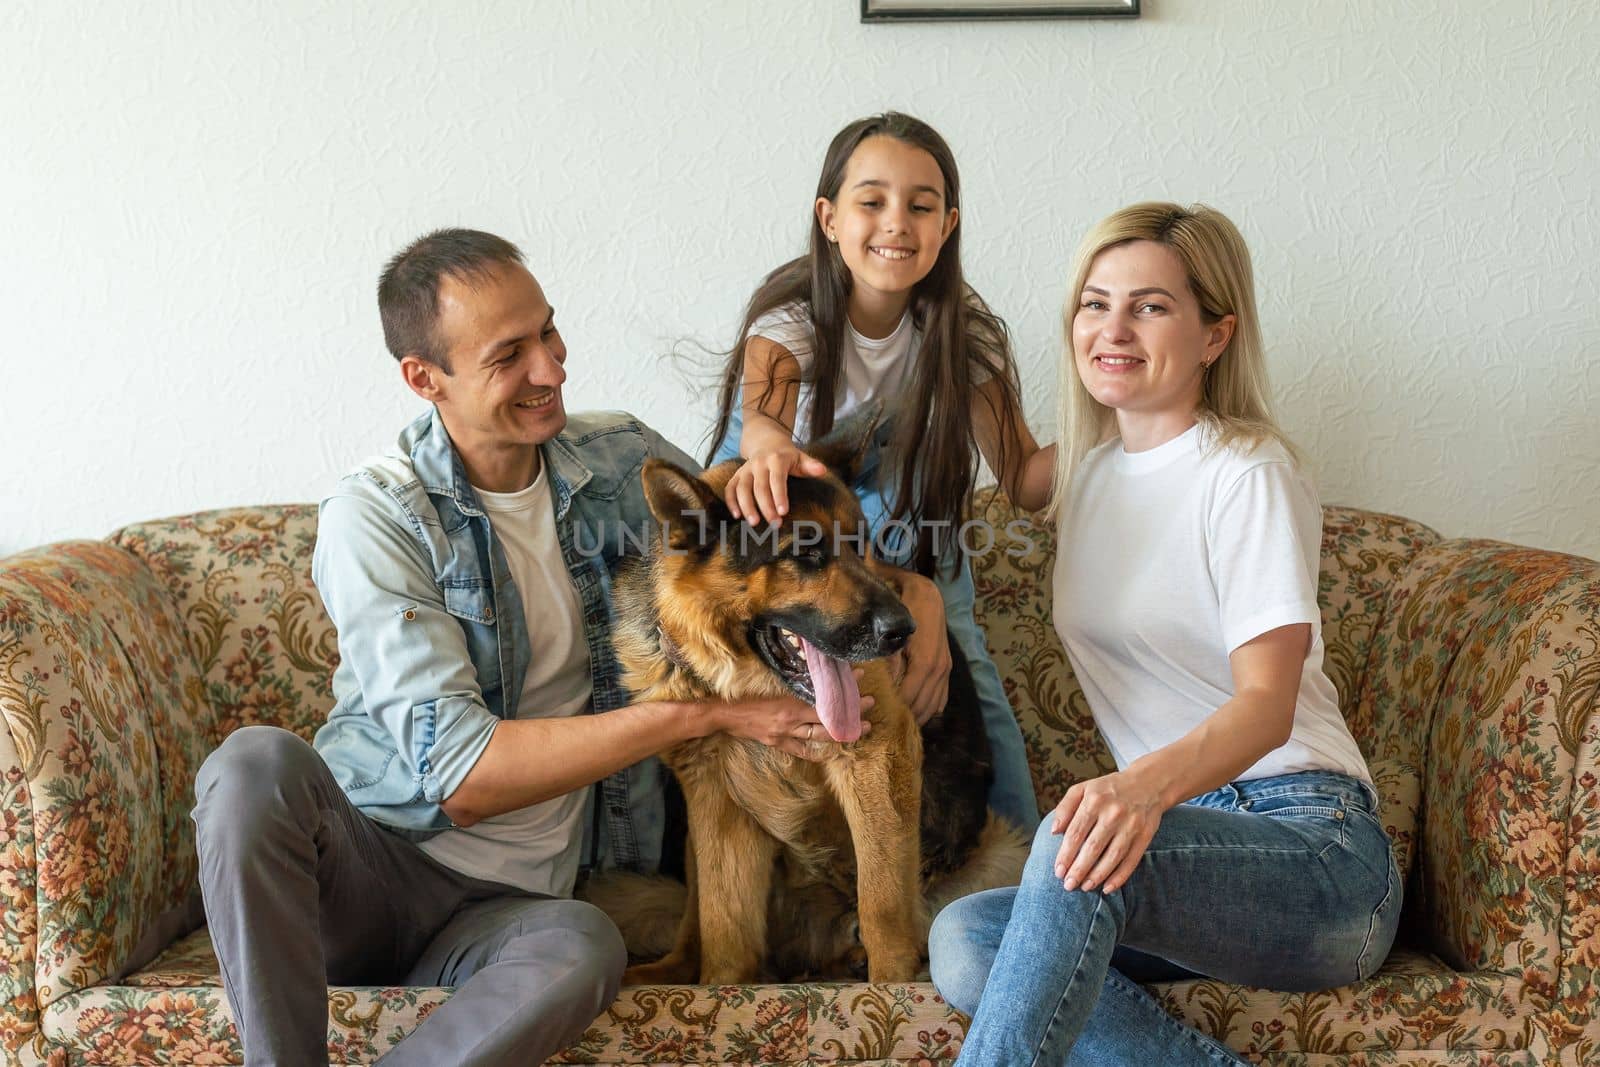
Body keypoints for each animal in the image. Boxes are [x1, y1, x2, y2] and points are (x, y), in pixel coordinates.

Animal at [595, 415, 1030, 985]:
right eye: (805, 555)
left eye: (860, 543)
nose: (903, 632)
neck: (746, 684)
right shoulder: (717, 799)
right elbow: (724, 926)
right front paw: (721, 991)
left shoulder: (876, 757)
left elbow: (882, 899)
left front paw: (890, 985)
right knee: (696, 919)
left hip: (1001, 852)